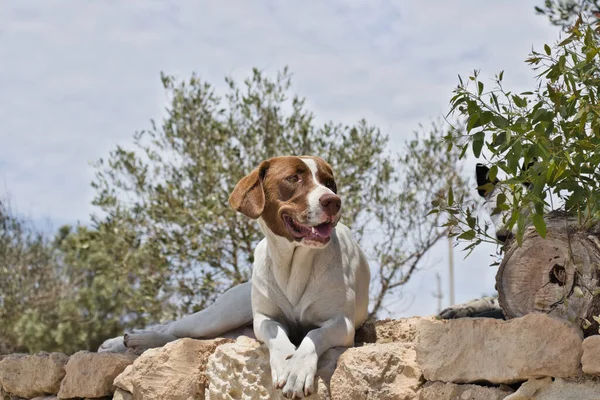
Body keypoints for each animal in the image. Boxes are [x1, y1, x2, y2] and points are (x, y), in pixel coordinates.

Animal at [99, 155, 370, 396]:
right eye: (293, 178)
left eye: (329, 182)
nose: (333, 201)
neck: (294, 263)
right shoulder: (264, 319)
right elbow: (278, 336)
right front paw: (285, 362)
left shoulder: (341, 323)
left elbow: (314, 335)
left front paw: (297, 369)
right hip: (221, 315)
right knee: (175, 327)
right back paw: (128, 340)